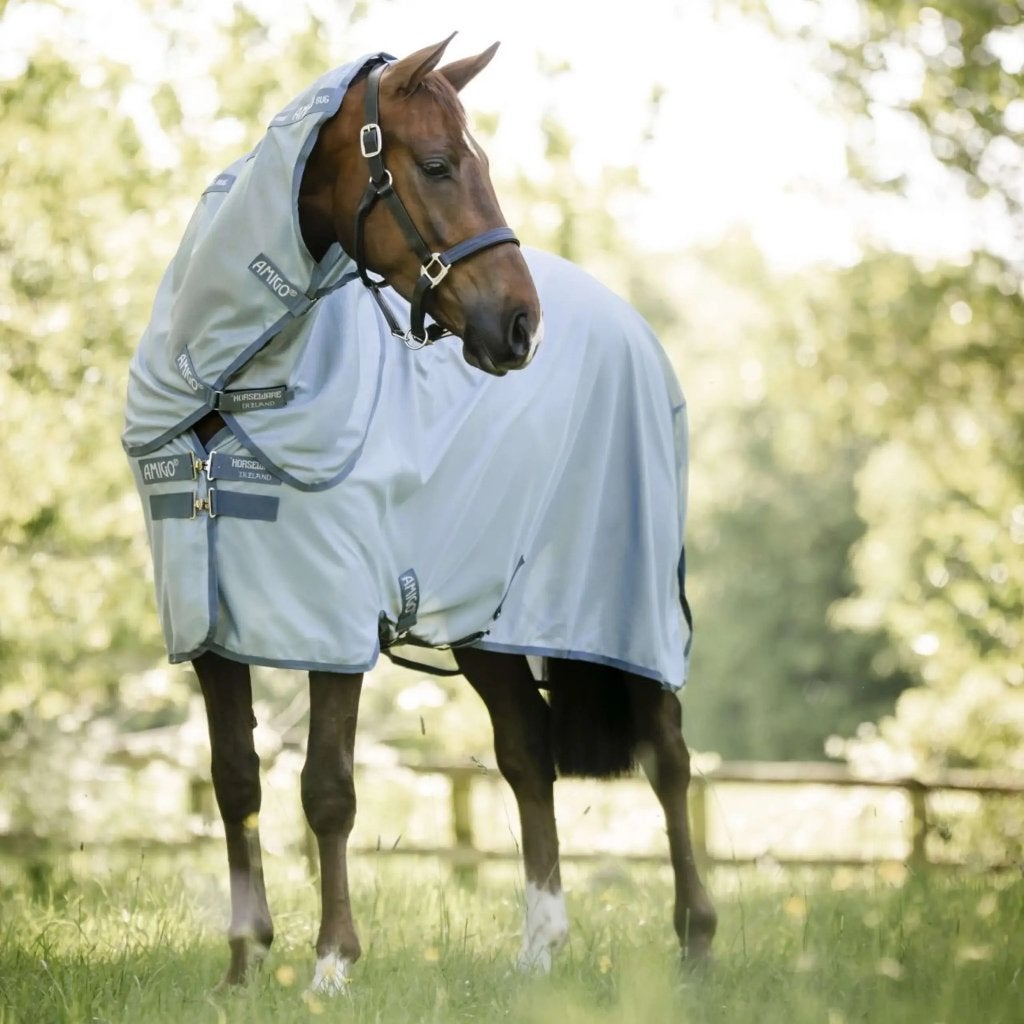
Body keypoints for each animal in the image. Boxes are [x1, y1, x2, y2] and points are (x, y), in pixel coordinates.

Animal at [124, 35, 716, 994]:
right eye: (437, 165)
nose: (520, 325)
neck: (223, 392)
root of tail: (636, 333)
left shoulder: (332, 622)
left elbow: (327, 789)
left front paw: (331, 965)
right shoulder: (210, 626)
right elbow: (235, 781)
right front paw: (244, 967)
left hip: (628, 612)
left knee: (667, 754)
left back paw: (697, 939)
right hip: (488, 626)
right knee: (527, 751)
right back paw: (539, 949)